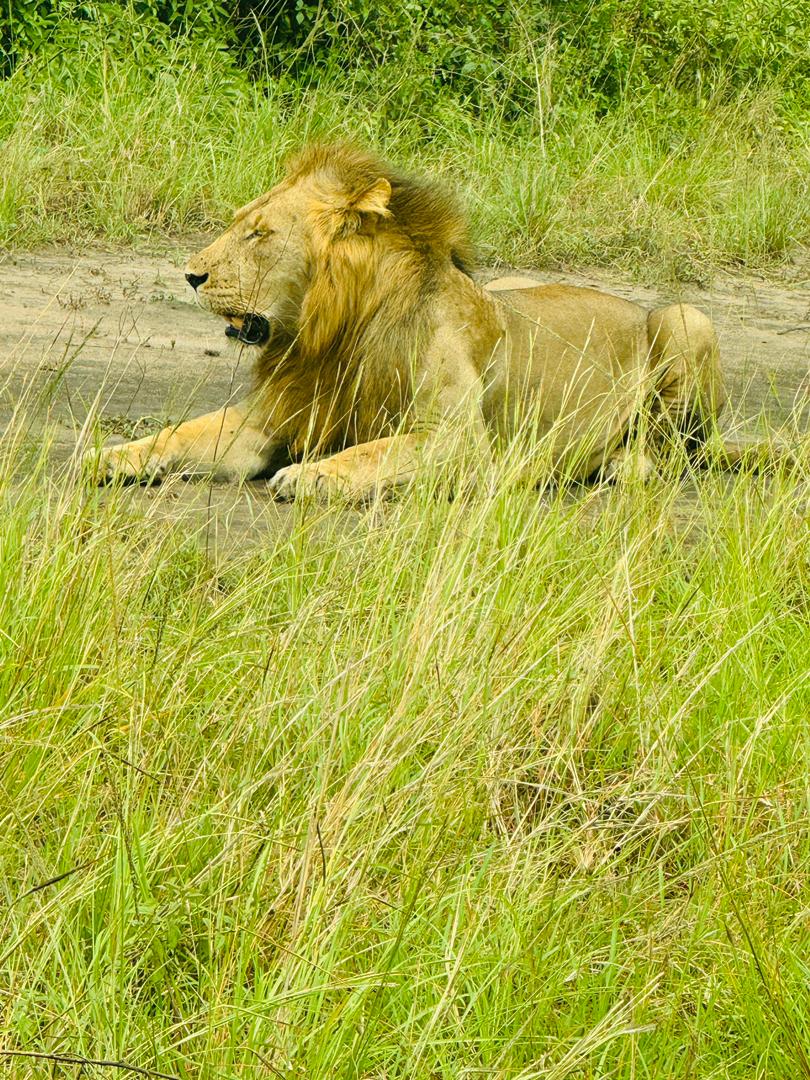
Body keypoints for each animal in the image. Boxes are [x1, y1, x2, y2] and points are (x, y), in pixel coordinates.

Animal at [89, 142, 730, 499]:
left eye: (260, 233)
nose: (190, 275)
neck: (334, 334)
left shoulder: (463, 444)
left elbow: (375, 452)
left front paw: (314, 475)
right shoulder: (266, 422)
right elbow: (181, 433)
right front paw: (110, 456)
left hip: (686, 319)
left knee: (676, 451)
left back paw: (624, 464)